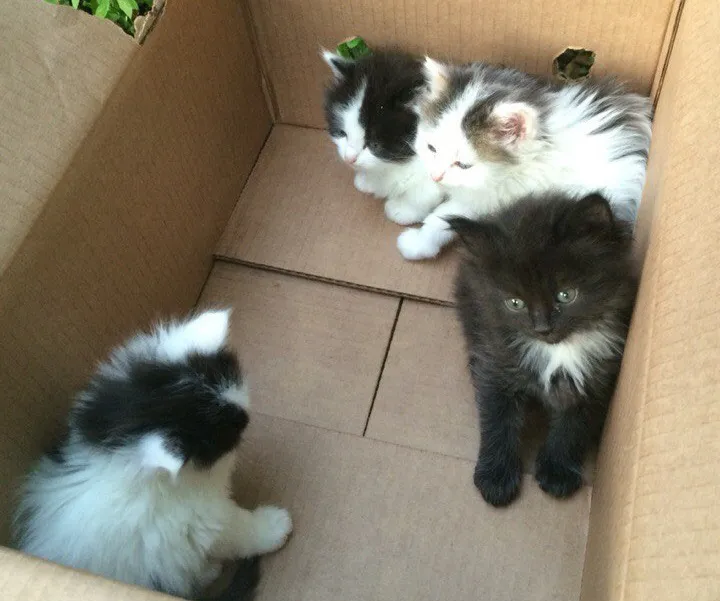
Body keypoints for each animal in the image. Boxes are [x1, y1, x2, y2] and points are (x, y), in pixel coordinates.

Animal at [322, 49, 445, 226]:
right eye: (342, 133)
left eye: (374, 144)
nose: (349, 159)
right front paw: (366, 180)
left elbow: (424, 193)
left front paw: (402, 210)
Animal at [396, 57, 652, 260]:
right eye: (431, 148)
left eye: (464, 165)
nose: (437, 175)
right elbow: (427, 188)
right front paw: (405, 207)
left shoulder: (487, 199)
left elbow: (442, 216)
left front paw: (417, 242)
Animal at [450, 193, 637, 507]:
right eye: (515, 303)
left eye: (566, 294)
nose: (542, 328)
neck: (560, 349)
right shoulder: (495, 363)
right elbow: (497, 420)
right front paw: (495, 478)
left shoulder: (598, 377)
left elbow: (574, 426)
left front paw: (557, 472)